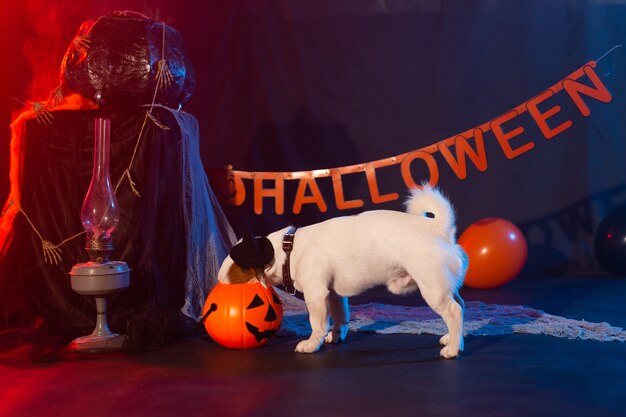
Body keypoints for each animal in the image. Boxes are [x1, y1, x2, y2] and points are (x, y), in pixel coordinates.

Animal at [217, 185, 466, 358]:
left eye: (235, 268)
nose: (217, 282)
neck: (288, 249)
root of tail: (438, 230)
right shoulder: (334, 295)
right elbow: (340, 318)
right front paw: (335, 336)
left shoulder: (316, 295)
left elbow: (317, 323)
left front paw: (312, 344)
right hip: (446, 288)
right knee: (461, 306)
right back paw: (454, 338)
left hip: (433, 290)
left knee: (454, 312)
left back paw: (453, 348)